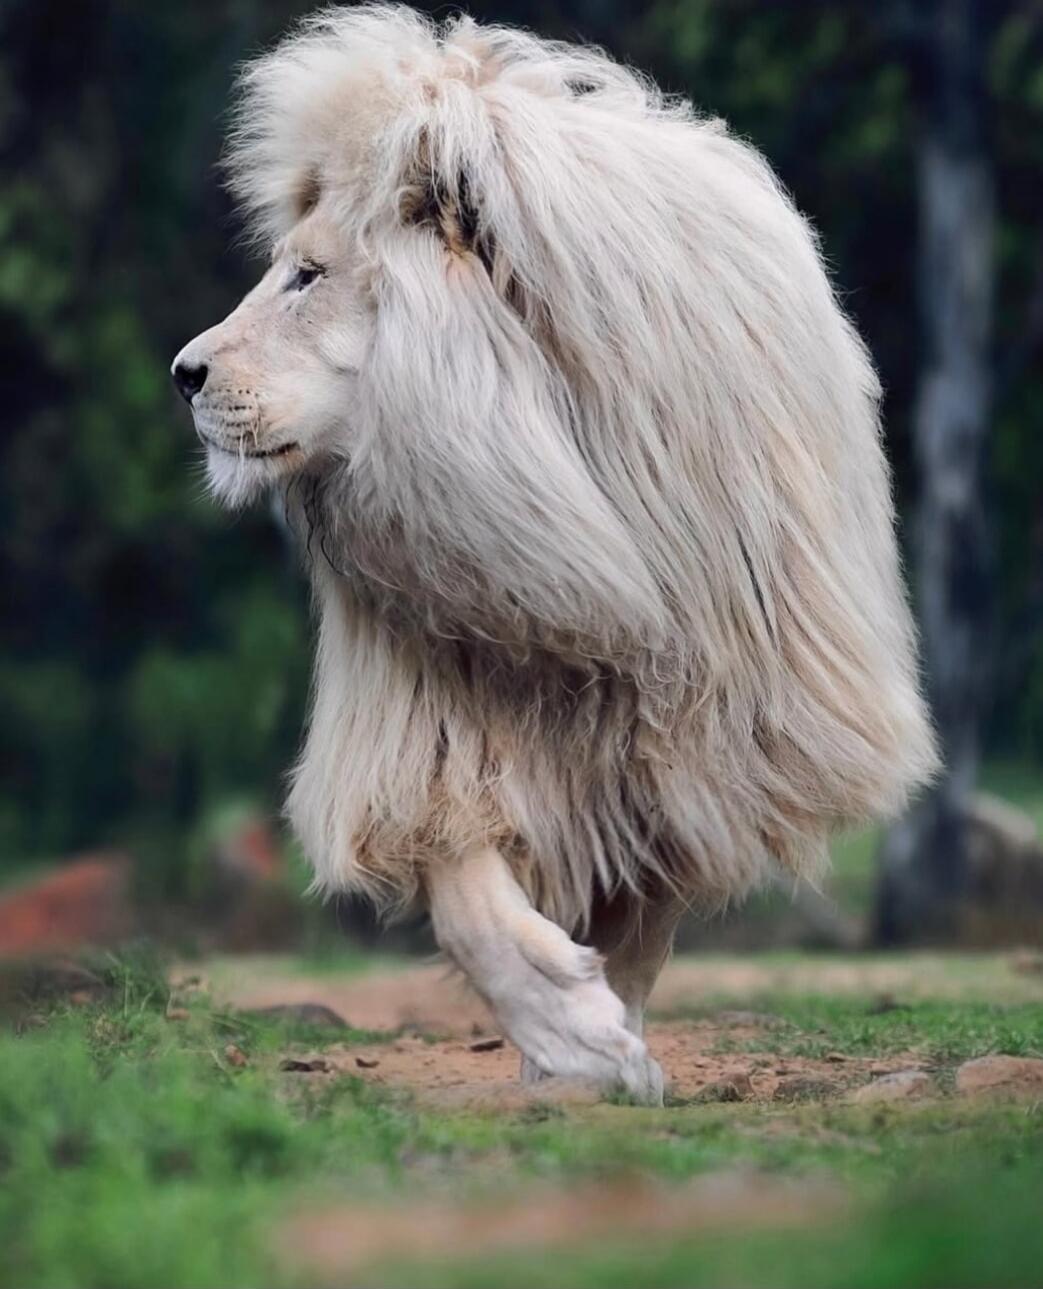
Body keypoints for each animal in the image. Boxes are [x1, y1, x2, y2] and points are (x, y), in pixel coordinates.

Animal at [172, 4, 937, 1103]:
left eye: (307, 276)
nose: (183, 372)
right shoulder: (431, 717)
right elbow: (470, 901)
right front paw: (574, 1035)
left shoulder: (699, 732)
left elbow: (638, 923)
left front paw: (597, 1050)